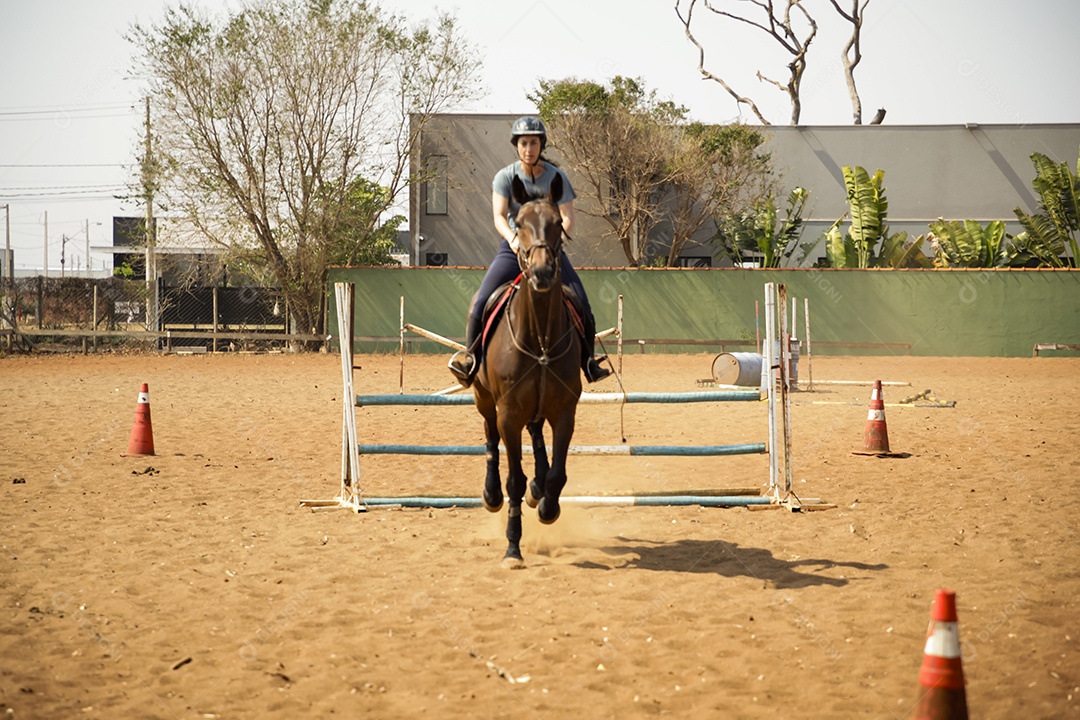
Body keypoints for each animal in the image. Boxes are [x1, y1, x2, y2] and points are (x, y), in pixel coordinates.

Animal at [472, 173, 582, 569]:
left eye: (558, 224)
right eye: (518, 224)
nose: (542, 272)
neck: (540, 342)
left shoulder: (565, 412)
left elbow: (558, 474)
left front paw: (547, 505)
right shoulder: (508, 414)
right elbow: (513, 481)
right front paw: (512, 548)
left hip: (538, 408)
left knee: (537, 439)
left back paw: (538, 489)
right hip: (485, 400)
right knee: (490, 439)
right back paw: (491, 495)